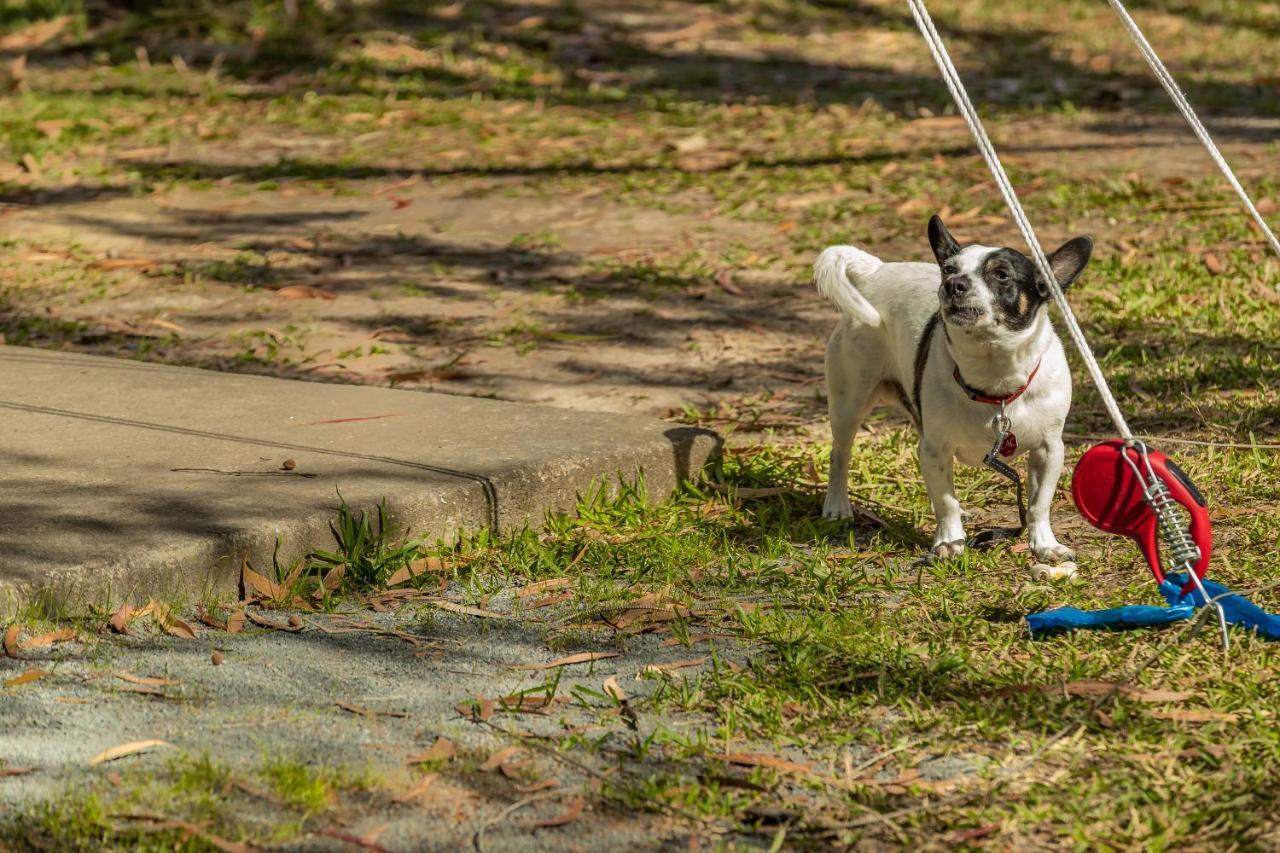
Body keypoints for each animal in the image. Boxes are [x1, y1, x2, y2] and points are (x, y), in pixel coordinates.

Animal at [814, 213, 1095, 558]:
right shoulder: (934, 449)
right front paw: (949, 541)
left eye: (1001, 274)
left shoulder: (1049, 450)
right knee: (840, 453)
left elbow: (1038, 504)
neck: (995, 379)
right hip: (849, 401)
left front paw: (1045, 544)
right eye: (948, 269)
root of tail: (876, 271)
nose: (953, 284)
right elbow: (945, 501)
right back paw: (837, 505)